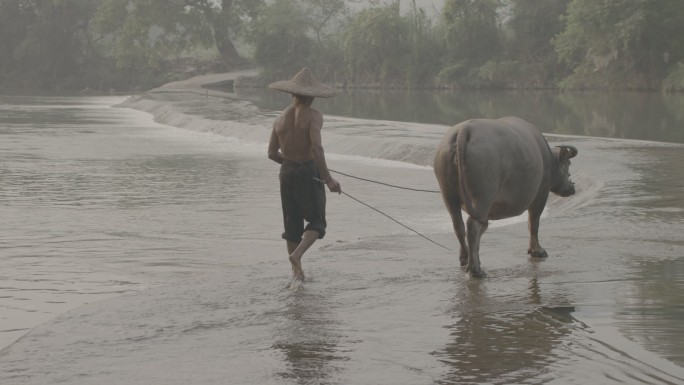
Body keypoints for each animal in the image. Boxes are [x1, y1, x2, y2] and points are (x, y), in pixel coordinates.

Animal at [432, 115, 576, 278]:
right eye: (568, 163)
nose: (572, 188)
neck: (548, 160)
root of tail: (465, 130)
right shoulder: (541, 194)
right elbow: (533, 222)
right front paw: (537, 251)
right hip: (483, 197)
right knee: (474, 226)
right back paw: (476, 270)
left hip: (449, 196)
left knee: (459, 226)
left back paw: (466, 258)